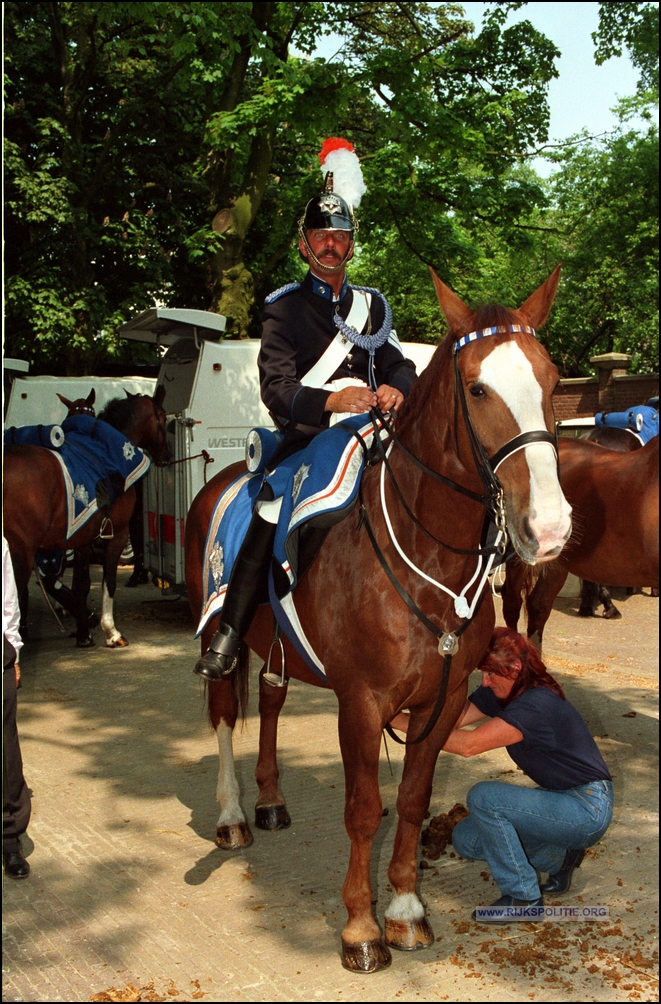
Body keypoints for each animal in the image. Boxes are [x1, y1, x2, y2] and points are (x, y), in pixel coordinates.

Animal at [4, 387, 167, 646]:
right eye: (163, 417)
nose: (167, 453)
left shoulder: (81, 538)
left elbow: (81, 584)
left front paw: (83, 630)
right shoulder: (117, 535)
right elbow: (108, 581)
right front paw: (111, 630)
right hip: (21, 552)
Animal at [182, 267, 570, 971]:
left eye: (552, 382)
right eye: (477, 388)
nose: (549, 527)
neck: (428, 553)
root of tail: (222, 477)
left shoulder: (443, 700)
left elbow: (412, 801)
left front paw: (407, 911)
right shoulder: (362, 702)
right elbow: (365, 808)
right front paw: (361, 929)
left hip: (278, 648)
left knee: (272, 701)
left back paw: (272, 800)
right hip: (222, 633)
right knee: (225, 712)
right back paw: (232, 816)